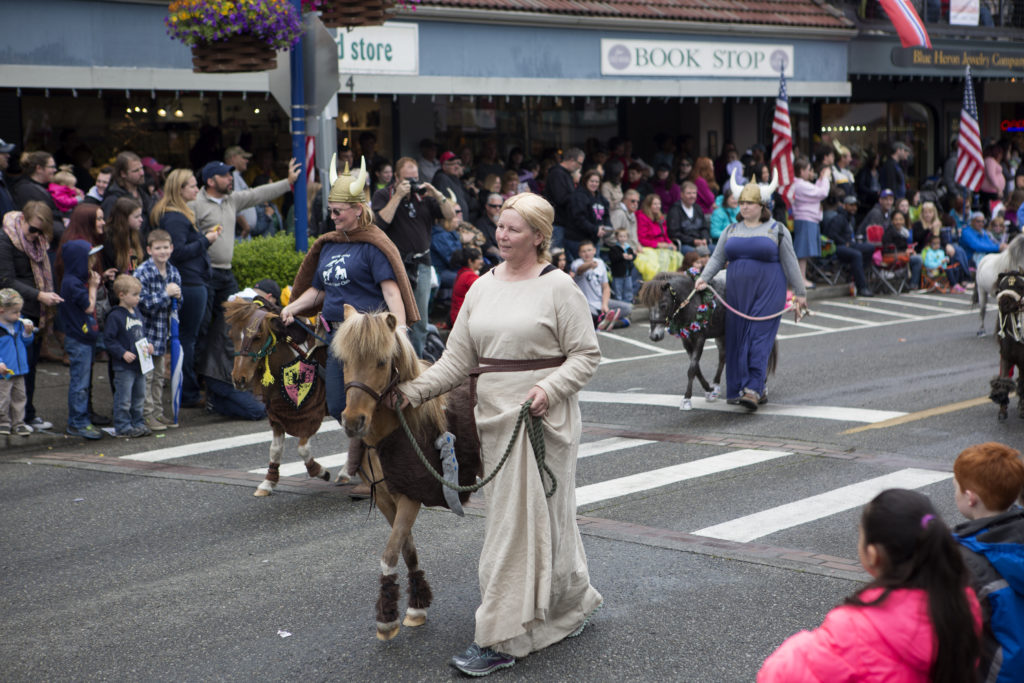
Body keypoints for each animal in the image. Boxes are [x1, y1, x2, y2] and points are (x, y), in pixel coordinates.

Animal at [224, 299, 331, 497]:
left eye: (257, 336)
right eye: (232, 335)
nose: (239, 379)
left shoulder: (311, 414)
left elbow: (302, 449)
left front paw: (320, 471)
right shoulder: (278, 416)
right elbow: (275, 449)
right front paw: (268, 482)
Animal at [331, 305, 483, 643]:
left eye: (382, 361)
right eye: (345, 361)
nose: (353, 422)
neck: (394, 431)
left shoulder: (410, 497)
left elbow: (389, 554)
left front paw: (387, 619)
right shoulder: (388, 499)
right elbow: (407, 550)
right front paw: (416, 607)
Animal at [983, 268, 1024, 419]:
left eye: (1020, 286)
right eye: (1001, 287)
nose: (1004, 303)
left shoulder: (1022, 361)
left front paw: (1021, 409)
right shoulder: (1006, 357)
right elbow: (1004, 379)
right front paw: (1002, 407)